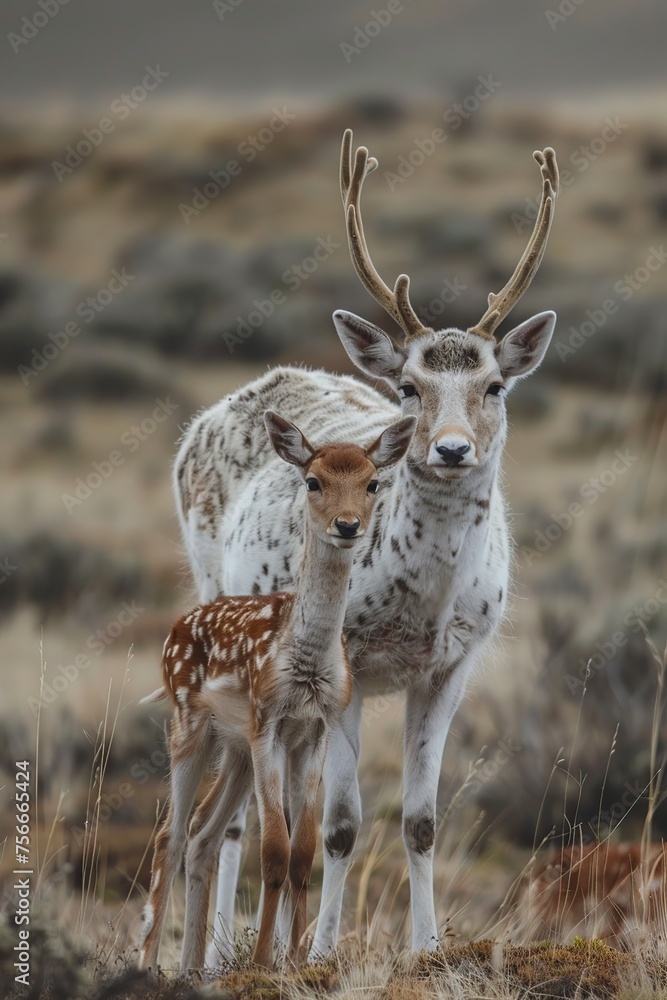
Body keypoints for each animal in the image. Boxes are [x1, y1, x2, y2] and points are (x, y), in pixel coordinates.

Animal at [139, 410, 416, 970]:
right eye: (313, 481)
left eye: (372, 483)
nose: (347, 525)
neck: (305, 664)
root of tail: (173, 631)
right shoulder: (267, 721)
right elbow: (272, 849)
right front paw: (264, 960)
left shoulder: (315, 728)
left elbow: (303, 850)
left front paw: (295, 960)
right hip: (189, 725)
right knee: (169, 835)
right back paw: (147, 963)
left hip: (234, 746)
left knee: (202, 833)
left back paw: (192, 967)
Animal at [172, 129, 560, 964]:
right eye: (409, 387)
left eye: (494, 387)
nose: (450, 449)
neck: (423, 603)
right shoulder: (348, 663)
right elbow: (342, 825)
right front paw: (319, 953)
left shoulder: (454, 661)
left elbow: (420, 820)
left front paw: (427, 946)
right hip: (211, 592)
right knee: (237, 818)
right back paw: (218, 951)